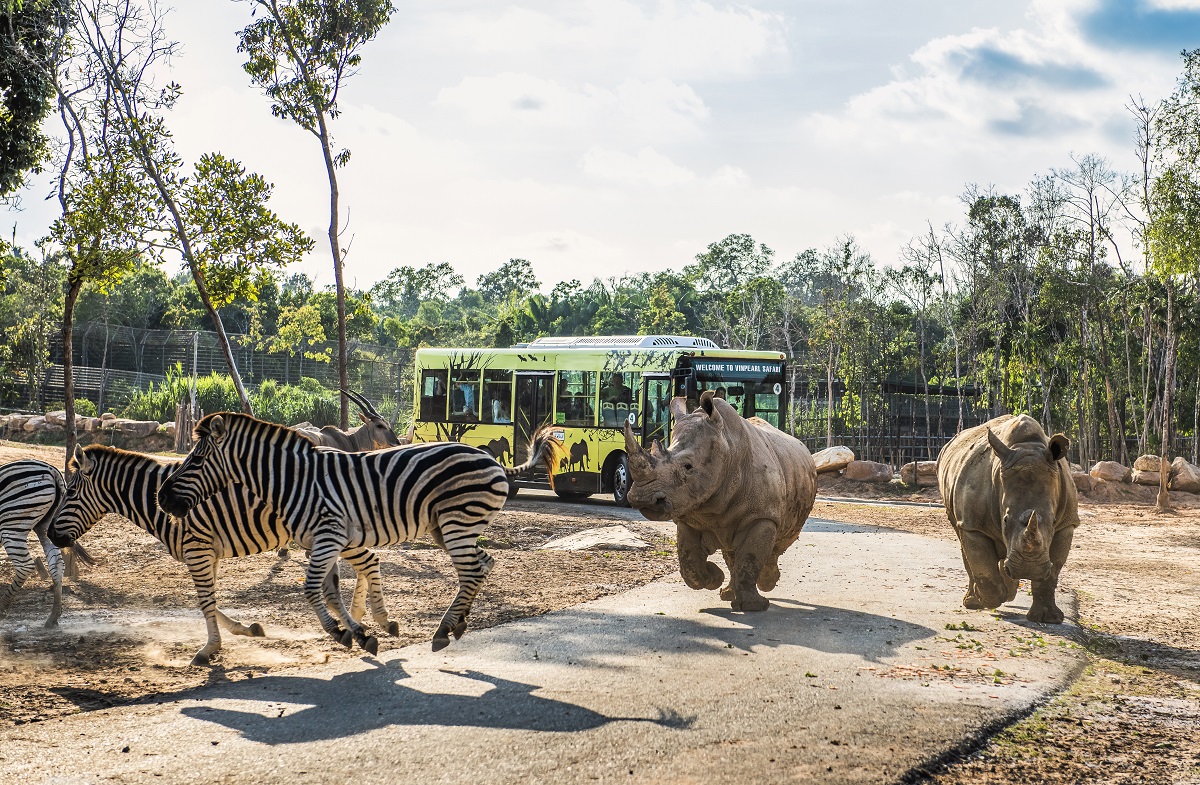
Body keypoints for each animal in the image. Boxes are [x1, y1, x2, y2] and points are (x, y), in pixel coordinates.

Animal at [0, 458, 93, 628]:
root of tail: (52, 470)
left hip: (13, 526)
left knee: (25, 566)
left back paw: (2, 609)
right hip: (48, 526)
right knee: (56, 564)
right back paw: (53, 616)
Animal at [48, 446, 398, 667]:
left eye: (71, 492)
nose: (51, 534)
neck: (158, 502)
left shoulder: (197, 549)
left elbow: (205, 602)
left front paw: (209, 650)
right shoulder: (206, 552)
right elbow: (209, 601)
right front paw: (246, 630)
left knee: (369, 561)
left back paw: (374, 620)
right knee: (366, 562)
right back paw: (362, 622)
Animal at [154, 415, 556, 652]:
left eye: (197, 459)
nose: (162, 498)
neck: (292, 480)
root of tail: (494, 461)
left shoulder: (328, 535)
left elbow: (312, 588)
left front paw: (340, 631)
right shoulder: (321, 541)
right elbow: (329, 588)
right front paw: (357, 629)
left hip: (458, 522)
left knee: (472, 570)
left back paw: (443, 629)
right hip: (451, 527)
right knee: (483, 564)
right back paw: (458, 622)